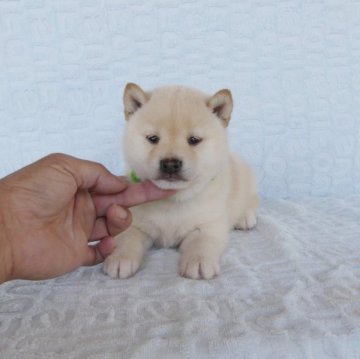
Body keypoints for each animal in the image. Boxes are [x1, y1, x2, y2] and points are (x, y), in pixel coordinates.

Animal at [102, 83, 258, 280]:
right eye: (153, 138)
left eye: (194, 140)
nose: (170, 164)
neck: (173, 201)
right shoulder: (136, 222)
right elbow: (127, 238)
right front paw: (120, 257)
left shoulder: (208, 224)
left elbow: (201, 242)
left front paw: (198, 262)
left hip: (247, 180)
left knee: (252, 200)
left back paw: (245, 217)